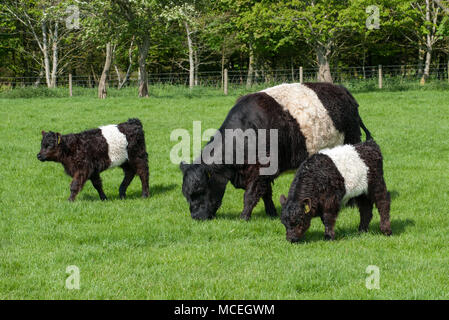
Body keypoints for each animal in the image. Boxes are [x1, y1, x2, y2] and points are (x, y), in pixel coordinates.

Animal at [178, 82, 372, 220]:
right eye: (186, 195)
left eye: (199, 191)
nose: (196, 217)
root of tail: (342, 90)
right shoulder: (262, 172)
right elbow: (266, 194)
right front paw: (271, 213)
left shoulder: (261, 170)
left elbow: (251, 194)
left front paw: (243, 217)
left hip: (351, 141)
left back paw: (351, 204)